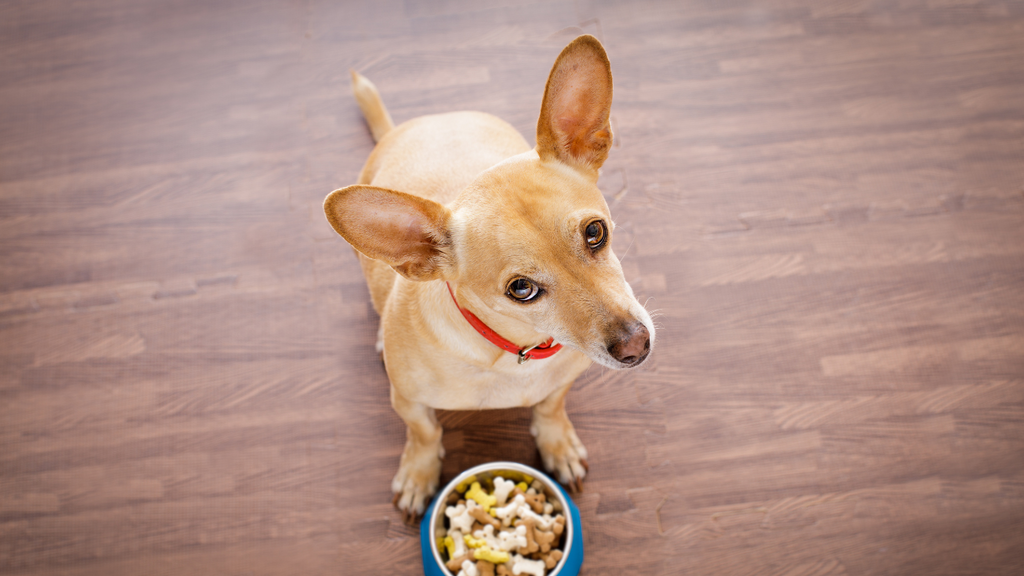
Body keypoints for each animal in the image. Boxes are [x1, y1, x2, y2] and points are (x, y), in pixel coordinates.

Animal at [323, 35, 651, 520]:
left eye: (596, 233)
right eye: (521, 290)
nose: (636, 346)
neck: (514, 351)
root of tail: (425, 121)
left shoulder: (560, 385)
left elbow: (550, 409)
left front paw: (557, 444)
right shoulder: (408, 402)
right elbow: (425, 433)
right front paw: (419, 474)